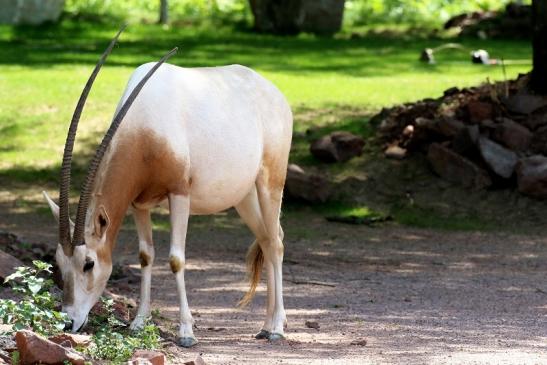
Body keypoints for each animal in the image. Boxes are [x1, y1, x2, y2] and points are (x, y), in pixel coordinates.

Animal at [42, 29, 294, 346]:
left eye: (88, 263)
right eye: (58, 263)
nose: (69, 321)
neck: (145, 124)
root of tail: (274, 93)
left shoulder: (179, 194)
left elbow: (176, 259)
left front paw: (186, 332)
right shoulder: (139, 203)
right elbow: (145, 256)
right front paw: (138, 322)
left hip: (270, 182)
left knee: (275, 243)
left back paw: (277, 327)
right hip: (245, 198)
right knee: (266, 238)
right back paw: (265, 324)